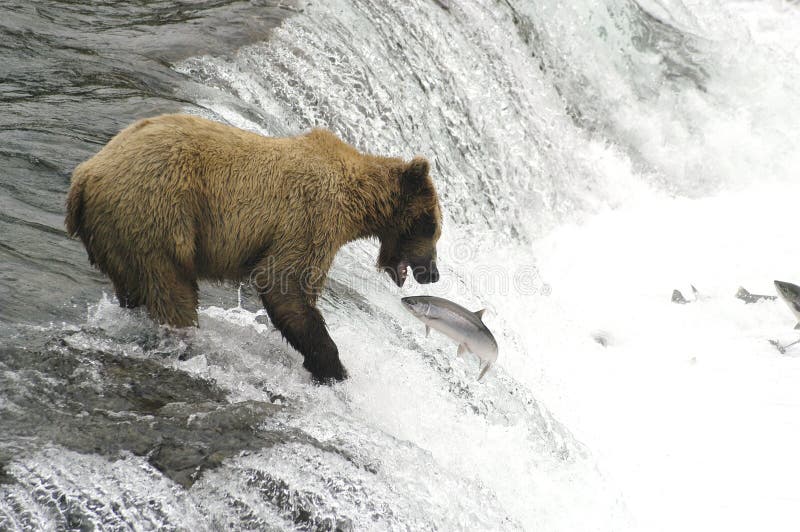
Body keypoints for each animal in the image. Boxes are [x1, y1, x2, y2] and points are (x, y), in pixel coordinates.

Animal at [67, 115, 444, 382]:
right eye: (432, 227)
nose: (433, 272)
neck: (358, 203)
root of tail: (84, 177)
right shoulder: (310, 217)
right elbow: (284, 284)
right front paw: (333, 367)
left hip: (116, 238)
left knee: (134, 289)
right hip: (157, 215)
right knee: (172, 292)